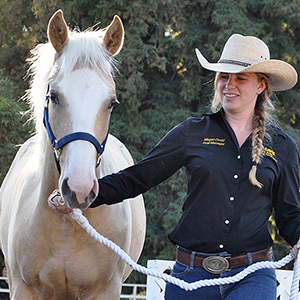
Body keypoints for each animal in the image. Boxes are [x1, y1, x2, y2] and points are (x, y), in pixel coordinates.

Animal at [0, 9, 146, 300]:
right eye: (54, 96)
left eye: (111, 103)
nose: (79, 188)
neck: (66, 226)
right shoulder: (23, 289)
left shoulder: (106, 291)